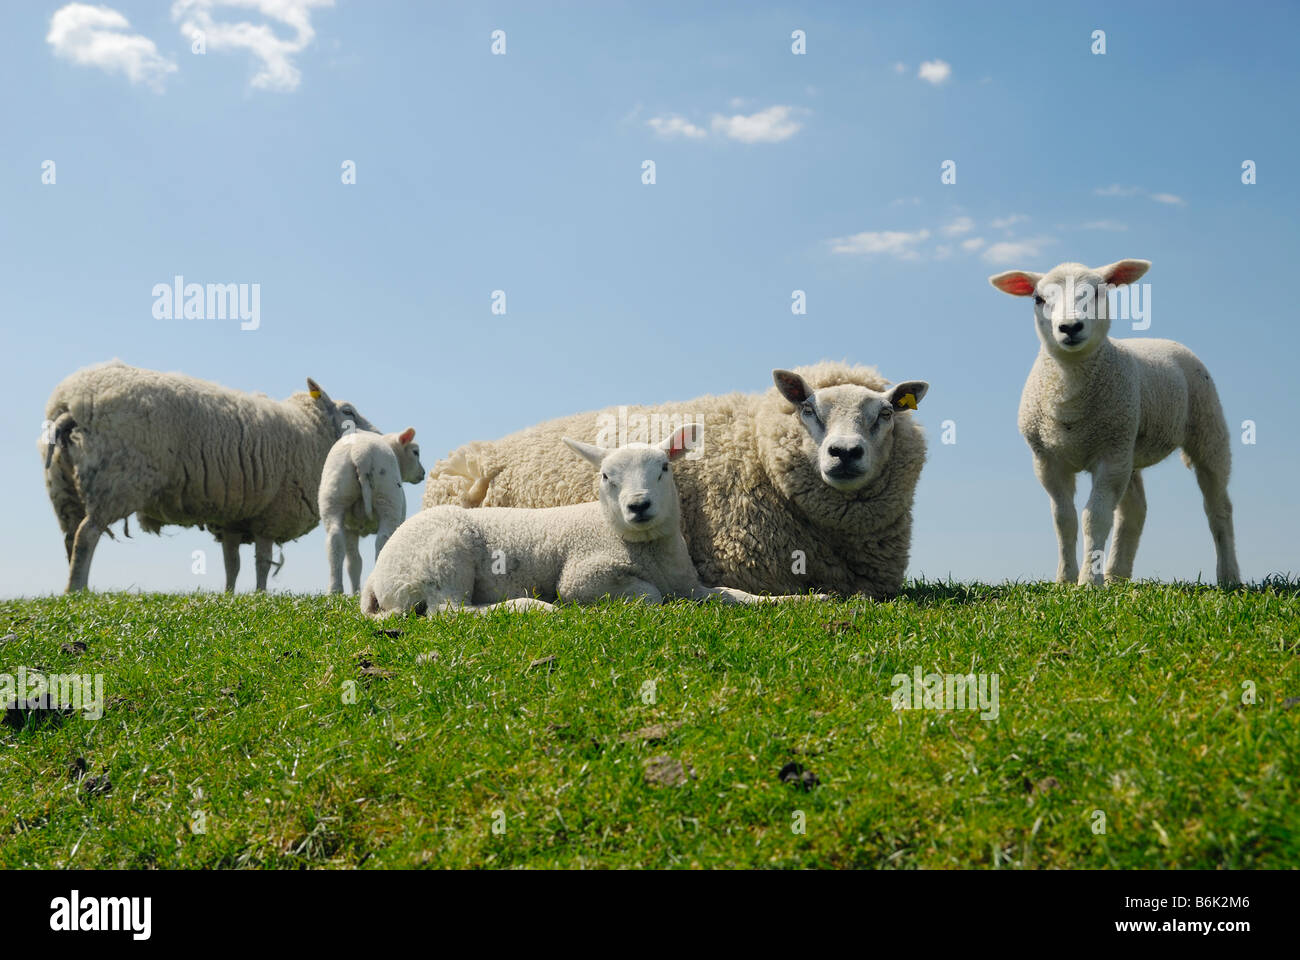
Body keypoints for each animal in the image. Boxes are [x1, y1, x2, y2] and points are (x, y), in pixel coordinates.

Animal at [41, 361, 379, 592]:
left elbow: (233, 564)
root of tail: (71, 403)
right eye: (348, 411)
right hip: (117, 481)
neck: (309, 429)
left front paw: (229, 596)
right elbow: (262, 561)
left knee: (71, 537)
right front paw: (260, 594)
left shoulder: (233, 520)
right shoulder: (270, 514)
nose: (376, 435)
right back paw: (78, 591)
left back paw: (73, 582)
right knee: (87, 535)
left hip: (63, 488)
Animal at [318, 428, 425, 595]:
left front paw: (356, 592)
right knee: (382, 540)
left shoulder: (350, 529)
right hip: (388, 499)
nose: (423, 473)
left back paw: (335, 589)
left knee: (335, 540)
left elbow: (354, 562)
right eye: (415, 452)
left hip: (335, 496)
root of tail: (361, 452)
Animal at [362, 425, 822, 616]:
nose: (638, 506)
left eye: (664, 469)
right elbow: (650, 596)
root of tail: (376, 578)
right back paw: (530, 606)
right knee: (449, 611)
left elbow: (736, 595)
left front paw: (803, 600)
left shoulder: (692, 585)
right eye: (605, 476)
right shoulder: (584, 574)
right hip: (444, 557)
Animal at [988, 259, 1240, 586]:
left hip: (1207, 429)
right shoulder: (1047, 460)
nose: (1070, 327)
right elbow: (1064, 519)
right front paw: (1065, 579)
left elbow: (1094, 517)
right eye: (1038, 299)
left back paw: (1229, 576)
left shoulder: (1109, 455)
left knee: (1218, 508)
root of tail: (1161, 340)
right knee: (1134, 510)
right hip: (1128, 446)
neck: (1068, 392)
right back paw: (1117, 575)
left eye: (1098, 292)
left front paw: (1088, 582)